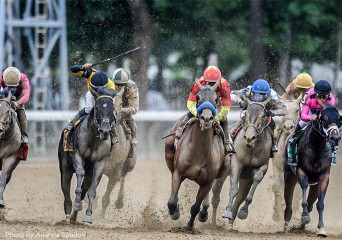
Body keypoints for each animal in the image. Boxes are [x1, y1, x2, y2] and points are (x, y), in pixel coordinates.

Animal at [58, 87, 118, 224]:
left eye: (112, 108)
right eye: (97, 107)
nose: (105, 131)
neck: (94, 138)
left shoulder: (100, 163)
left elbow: (92, 191)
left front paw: (88, 215)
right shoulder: (77, 155)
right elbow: (80, 172)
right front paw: (77, 202)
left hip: (89, 173)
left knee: (85, 188)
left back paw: (74, 216)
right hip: (65, 167)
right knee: (66, 189)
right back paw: (68, 214)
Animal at [99, 90, 136, 218]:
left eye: (119, 102)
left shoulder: (115, 171)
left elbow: (105, 198)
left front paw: (101, 218)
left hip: (130, 163)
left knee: (124, 175)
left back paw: (120, 202)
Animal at [164, 80, 228, 231]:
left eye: (216, 99)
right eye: (198, 97)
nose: (207, 118)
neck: (200, 151)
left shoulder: (208, 181)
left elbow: (195, 207)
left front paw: (190, 226)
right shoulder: (178, 172)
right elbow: (172, 202)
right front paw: (175, 213)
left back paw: (204, 213)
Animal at [212, 95, 274, 229]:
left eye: (263, 115)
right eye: (246, 114)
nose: (250, 137)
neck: (251, 148)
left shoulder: (262, 166)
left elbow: (255, 181)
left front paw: (243, 212)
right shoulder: (236, 163)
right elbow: (233, 188)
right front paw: (227, 211)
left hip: (245, 179)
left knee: (241, 196)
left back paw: (231, 222)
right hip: (223, 173)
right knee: (215, 193)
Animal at [284, 104, 342, 236]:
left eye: (338, 119)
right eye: (324, 118)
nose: (335, 138)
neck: (317, 146)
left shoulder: (324, 176)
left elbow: (320, 204)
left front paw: (321, 228)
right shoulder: (301, 171)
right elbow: (304, 194)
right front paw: (305, 216)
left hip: (315, 185)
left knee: (311, 203)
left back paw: (301, 226)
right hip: (289, 175)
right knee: (288, 199)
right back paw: (286, 225)